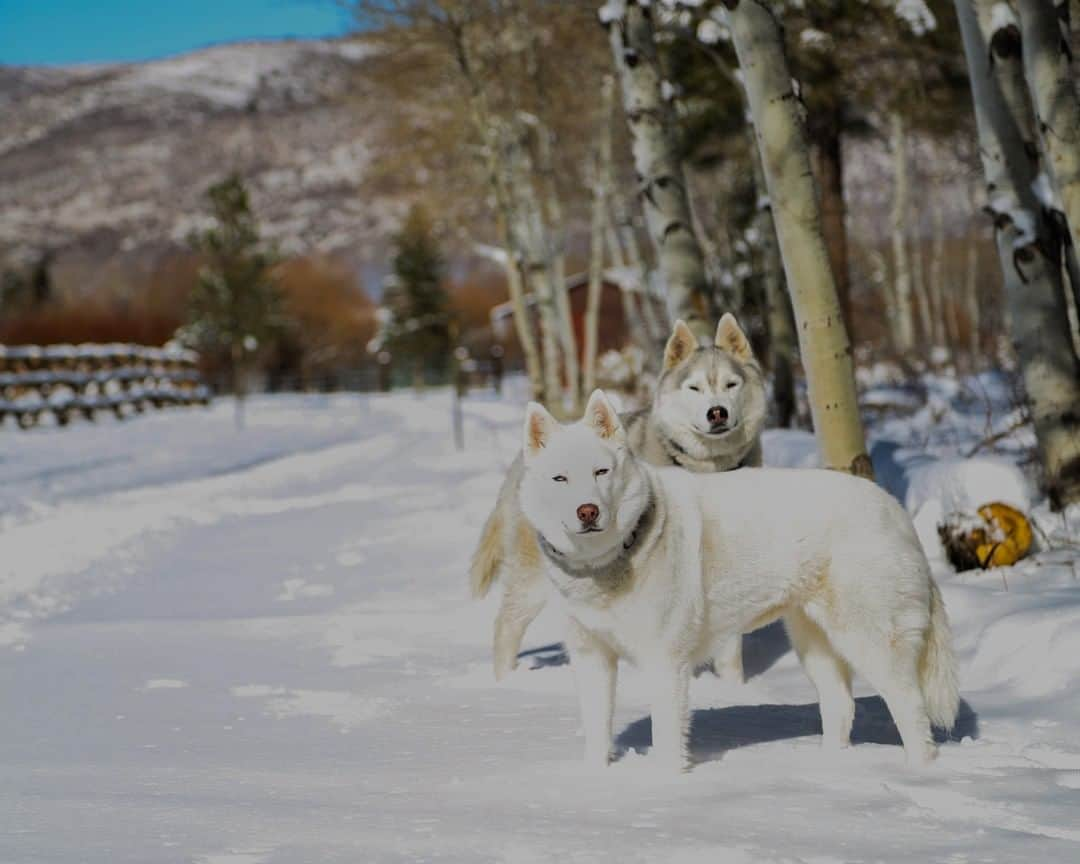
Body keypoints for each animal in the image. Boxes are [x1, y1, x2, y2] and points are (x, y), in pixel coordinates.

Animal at [468, 313, 764, 682]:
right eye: (694, 388)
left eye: (731, 385)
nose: (717, 412)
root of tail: (520, 461)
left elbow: (729, 649)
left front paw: (735, 687)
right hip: (530, 582)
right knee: (506, 625)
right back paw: (505, 681)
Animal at [518, 388, 959, 768]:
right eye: (560, 479)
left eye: (601, 472)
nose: (588, 511)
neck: (611, 558)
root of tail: (895, 508)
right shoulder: (590, 658)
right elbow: (597, 732)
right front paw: (596, 782)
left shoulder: (665, 663)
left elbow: (667, 740)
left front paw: (663, 788)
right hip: (813, 641)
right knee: (841, 704)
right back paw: (830, 768)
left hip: (871, 641)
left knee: (911, 708)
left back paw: (918, 773)